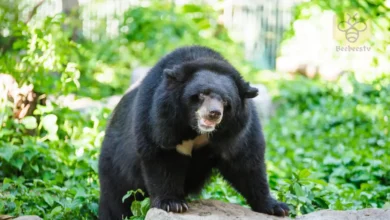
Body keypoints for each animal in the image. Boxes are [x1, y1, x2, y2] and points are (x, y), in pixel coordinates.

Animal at [99, 45, 288, 219]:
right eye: (202, 94)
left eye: (226, 101)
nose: (214, 113)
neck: (196, 130)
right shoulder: (159, 120)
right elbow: (162, 157)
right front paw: (172, 204)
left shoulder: (238, 131)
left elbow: (245, 162)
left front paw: (277, 207)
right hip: (115, 165)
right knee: (116, 200)